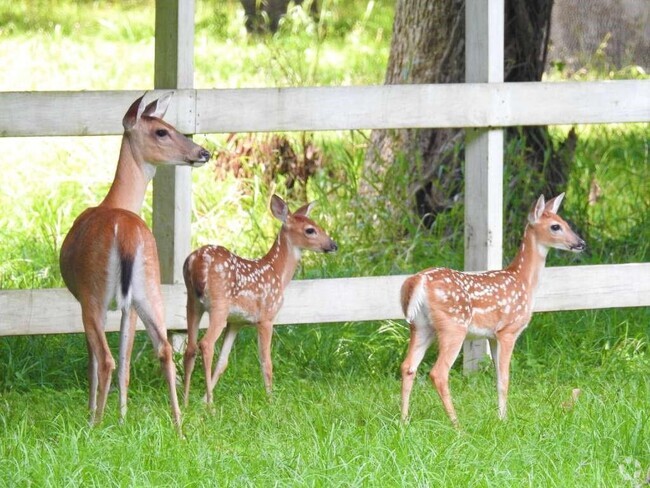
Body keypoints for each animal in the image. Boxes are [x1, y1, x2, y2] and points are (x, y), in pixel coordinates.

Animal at [59, 92, 208, 428]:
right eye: (162, 131)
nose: (203, 152)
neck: (116, 203)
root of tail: (125, 233)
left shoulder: (86, 298)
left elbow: (96, 357)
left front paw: (97, 412)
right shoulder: (130, 306)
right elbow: (127, 357)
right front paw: (123, 417)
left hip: (94, 292)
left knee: (105, 358)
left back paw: (95, 425)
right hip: (149, 287)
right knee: (163, 348)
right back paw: (178, 425)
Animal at [181, 193, 336, 404]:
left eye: (318, 225)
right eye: (310, 230)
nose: (333, 245)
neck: (277, 273)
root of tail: (196, 261)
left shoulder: (236, 322)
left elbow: (223, 362)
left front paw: (203, 398)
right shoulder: (266, 317)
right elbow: (266, 361)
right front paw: (271, 400)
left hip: (192, 302)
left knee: (190, 347)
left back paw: (185, 401)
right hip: (218, 305)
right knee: (205, 344)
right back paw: (211, 406)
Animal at [398, 193, 584, 426]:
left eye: (566, 223)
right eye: (555, 226)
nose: (581, 243)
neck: (523, 281)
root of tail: (418, 281)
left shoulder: (492, 336)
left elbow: (497, 378)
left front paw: (499, 416)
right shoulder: (508, 331)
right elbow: (505, 378)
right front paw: (504, 419)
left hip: (421, 326)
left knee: (408, 366)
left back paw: (404, 420)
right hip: (453, 326)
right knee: (438, 373)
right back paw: (457, 424)